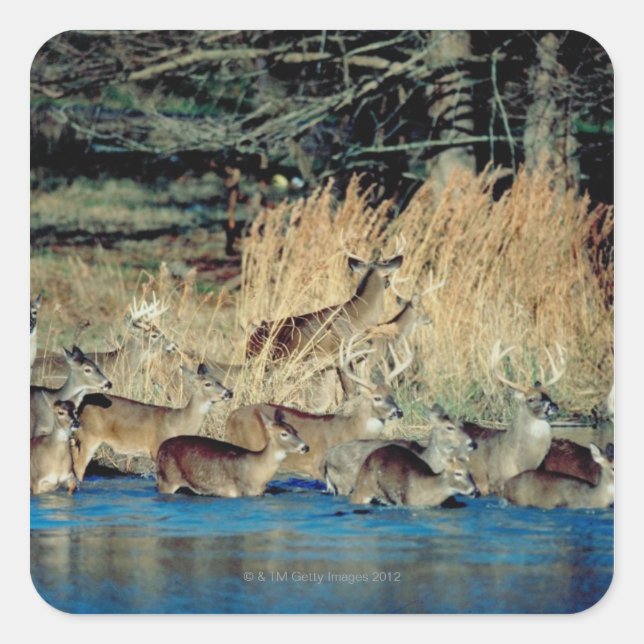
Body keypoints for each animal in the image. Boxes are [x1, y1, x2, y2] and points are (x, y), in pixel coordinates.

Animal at [72, 363, 233, 481]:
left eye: (219, 381)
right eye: (208, 384)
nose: (229, 392)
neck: (178, 423)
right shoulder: (157, 449)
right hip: (90, 435)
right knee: (79, 467)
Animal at [156, 408, 309, 497]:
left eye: (296, 431)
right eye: (284, 434)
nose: (305, 447)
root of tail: (160, 447)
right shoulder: (234, 490)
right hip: (168, 478)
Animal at [225, 333, 413, 480]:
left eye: (392, 395)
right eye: (377, 398)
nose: (398, 412)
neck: (350, 430)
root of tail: (231, 417)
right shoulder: (318, 466)